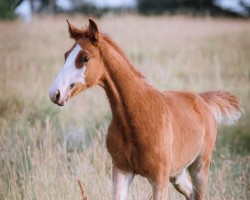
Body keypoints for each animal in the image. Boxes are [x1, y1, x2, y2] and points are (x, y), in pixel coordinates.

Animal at [48, 19, 242, 200]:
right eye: (66, 55)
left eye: (84, 58)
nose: (55, 93)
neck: (136, 117)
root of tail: (203, 100)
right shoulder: (121, 170)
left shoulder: (159, 179)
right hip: (177, 174)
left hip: (199, 168)